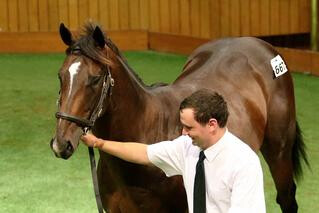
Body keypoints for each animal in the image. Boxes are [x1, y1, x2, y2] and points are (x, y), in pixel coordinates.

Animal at [51, 22, 308, 212]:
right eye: (61, 75)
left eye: (94, 79)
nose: (60, 144)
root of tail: (258, 43)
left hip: (279, 151)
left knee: (286, 197)